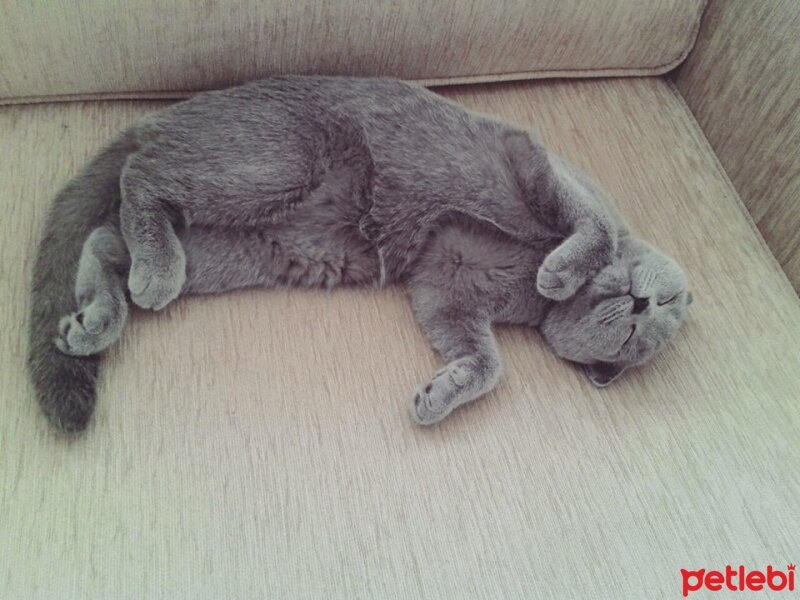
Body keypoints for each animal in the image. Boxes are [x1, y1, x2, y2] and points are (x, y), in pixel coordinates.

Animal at [25, 76, 692, 432]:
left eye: (635, 337)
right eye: (661, 306)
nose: (641, 303)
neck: (529, 284)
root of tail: (158, 117)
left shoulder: (444, 289)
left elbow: (486, 363)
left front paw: (439, 397)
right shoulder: (538, 169)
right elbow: (591, 224)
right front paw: (566, 268)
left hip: (240, 249)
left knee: (106, 236)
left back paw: (95, 318)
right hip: (273, 165)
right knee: (140, 176)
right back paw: (152, 274)